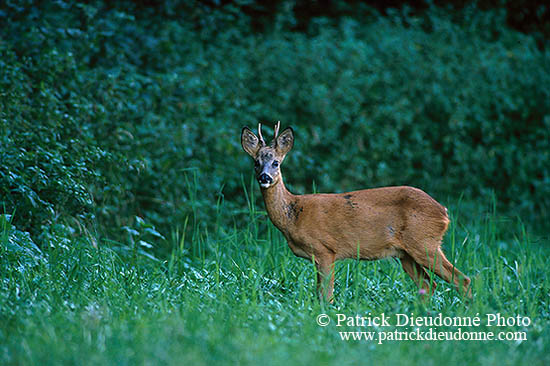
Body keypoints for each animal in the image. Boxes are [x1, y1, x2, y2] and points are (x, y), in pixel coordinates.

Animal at [239, 121, 472, 302]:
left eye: (276, 163)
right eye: (256, 163)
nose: (264, 177)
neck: (293, 214)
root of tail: (444, 212)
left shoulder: (325, 250)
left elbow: (326, 296)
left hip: (424, 242)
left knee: (462, 279)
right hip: (406, 253)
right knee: (428, 285)